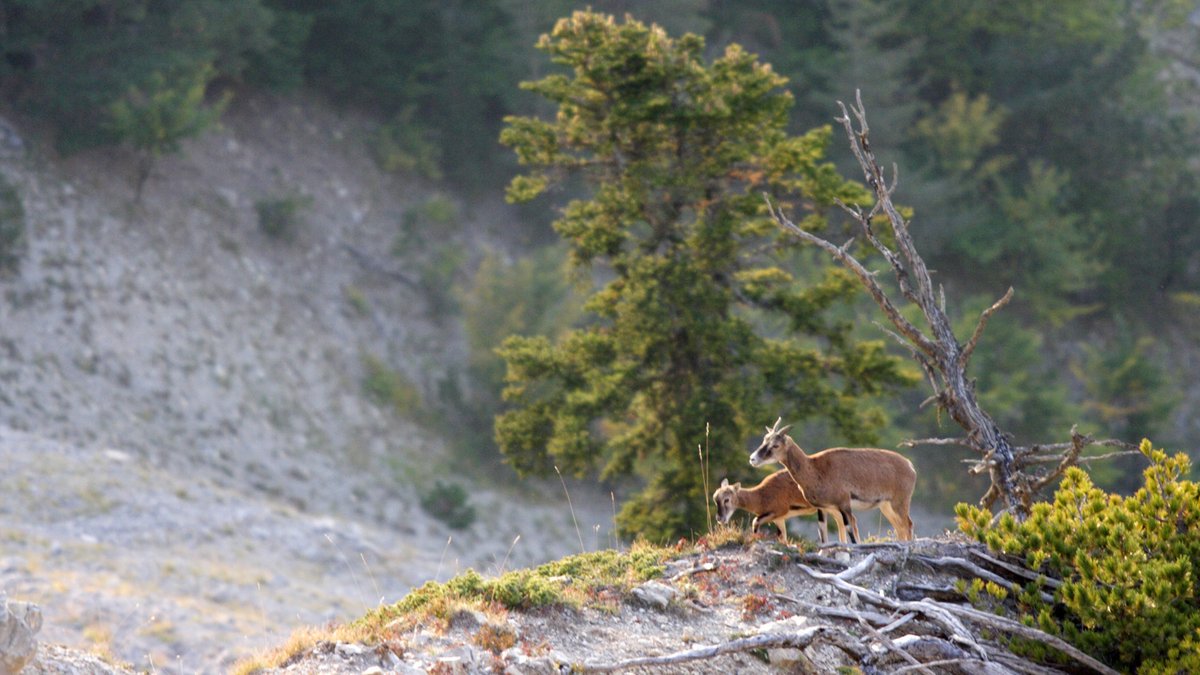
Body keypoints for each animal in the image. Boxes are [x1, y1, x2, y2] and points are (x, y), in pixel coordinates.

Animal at [748, 417, 916, 544]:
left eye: (775, 445)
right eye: (764, 440)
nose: (753, 459)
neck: (815, 468)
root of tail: (909, 465)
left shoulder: (844, 505)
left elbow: (850, 532)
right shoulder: (823, 508)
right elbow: (823, 534)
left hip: (899, 504)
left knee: (907, 524)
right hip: (886, 507)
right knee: (900, 528)